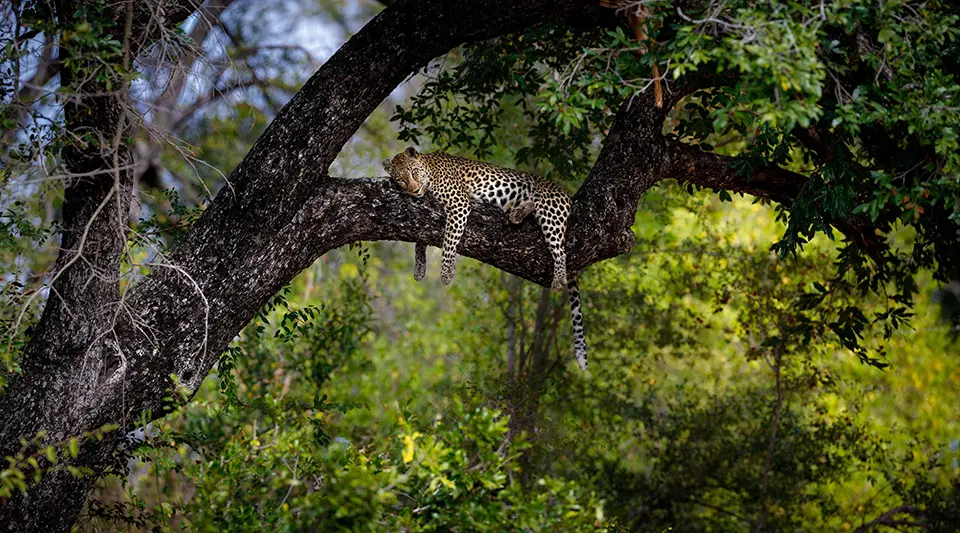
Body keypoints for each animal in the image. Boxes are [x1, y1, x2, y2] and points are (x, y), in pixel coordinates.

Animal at [382, 147, 587, 370]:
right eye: (401, 180)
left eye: (414, 172)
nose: (414, 189)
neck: (429, 170)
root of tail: (566, 195)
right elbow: (421, 239)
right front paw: (419, 268)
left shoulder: (459, 203)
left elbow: (449, 239)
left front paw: (446, 273)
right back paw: (517, 212)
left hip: (550, 211)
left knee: (561, 251)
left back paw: (558, 279)